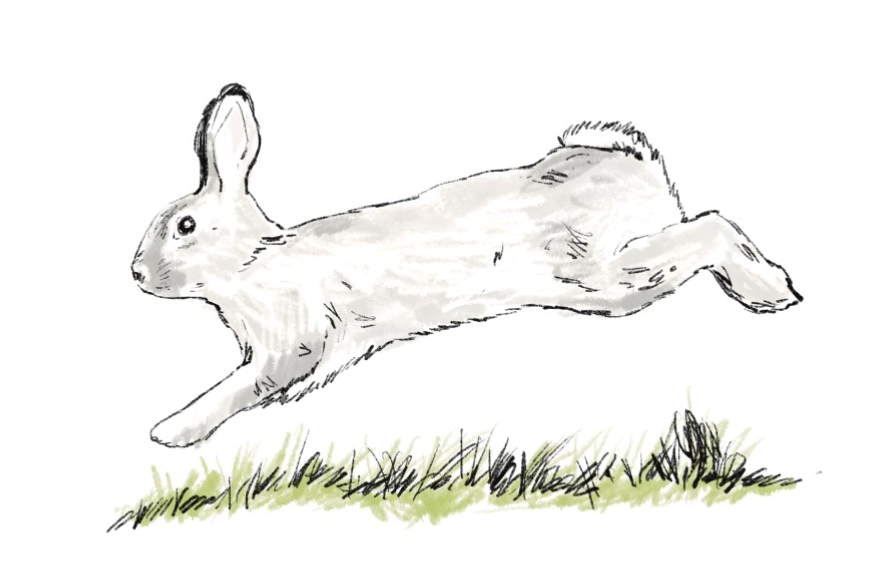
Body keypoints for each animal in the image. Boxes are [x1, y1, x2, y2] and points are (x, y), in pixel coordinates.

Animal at [132, 84, 802, 448]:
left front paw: (171, 430)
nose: (136, 273)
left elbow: (240, 389)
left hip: (603, 276)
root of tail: (637, 167)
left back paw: (773, 291)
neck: (252, 260)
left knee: (712, 226)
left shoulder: (292, 344)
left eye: (184, 226)